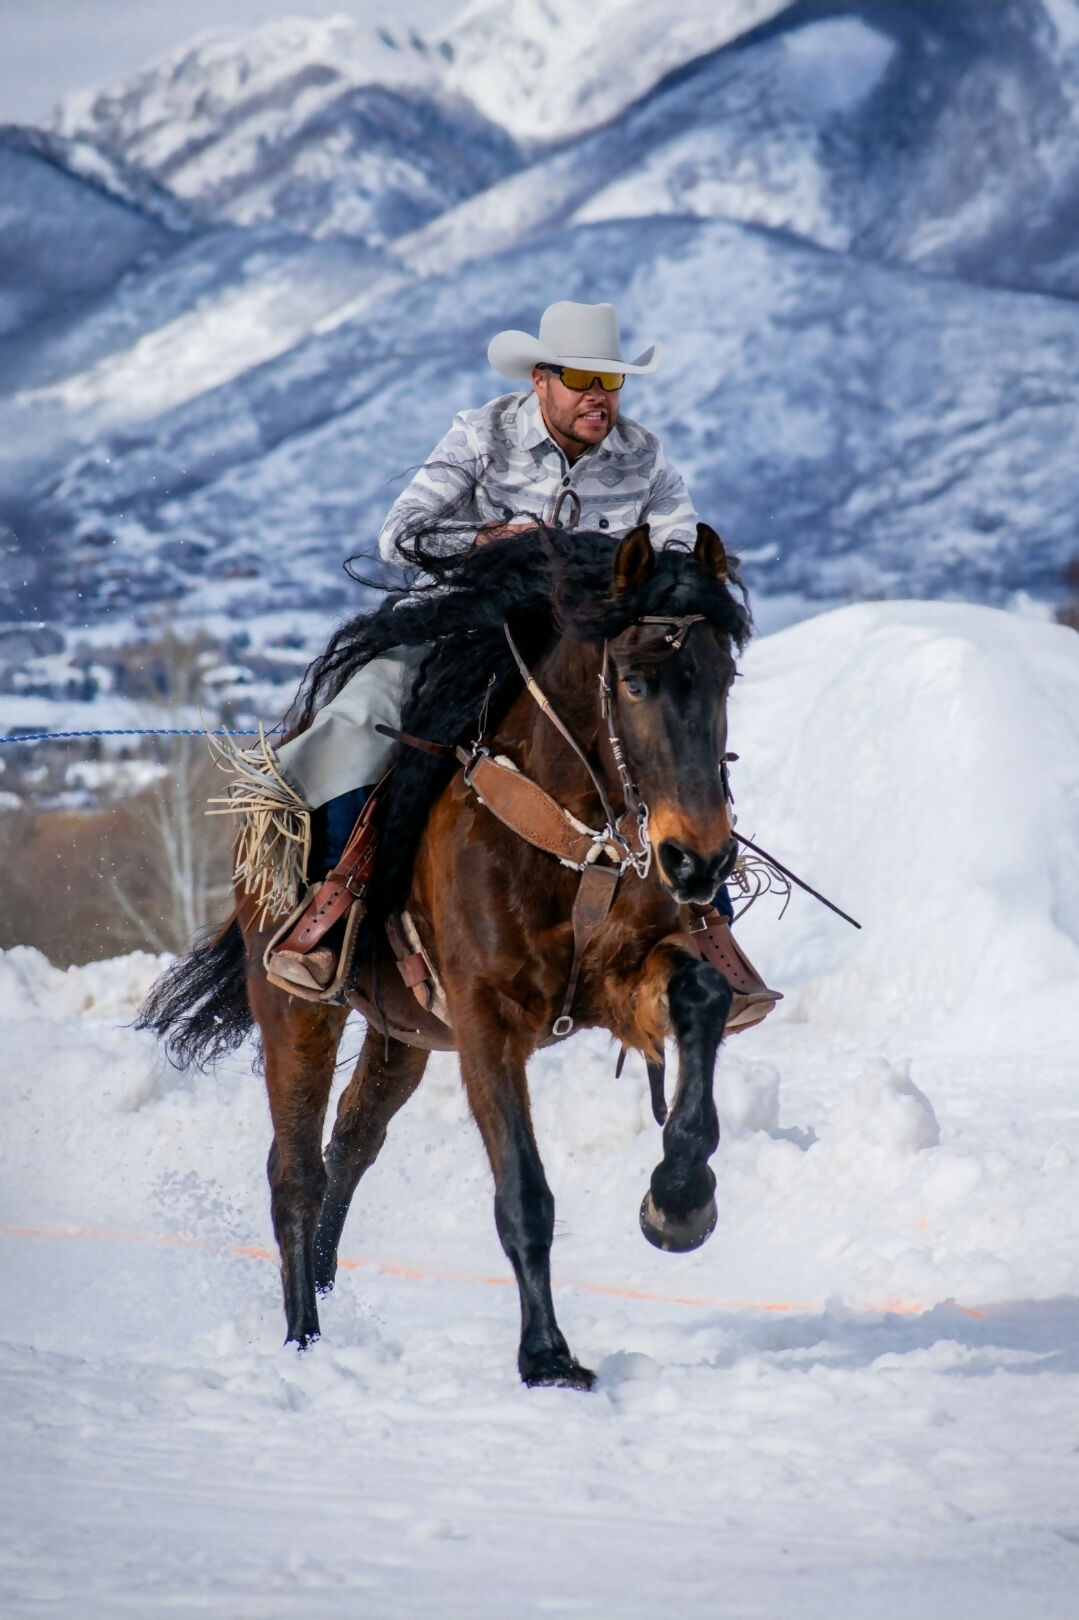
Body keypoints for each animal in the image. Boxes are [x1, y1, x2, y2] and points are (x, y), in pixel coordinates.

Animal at [139, 521, 753, 1389]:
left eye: (724, 678)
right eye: (633, 681)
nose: (697, 860)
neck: (567, 836)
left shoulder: (618, 979)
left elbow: (701, 997)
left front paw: (678, 1200)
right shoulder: (485, 1017)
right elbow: (523, 1189)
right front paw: (546, 1356)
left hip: (404, 1035)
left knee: (351, 1143)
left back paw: (325, 1293)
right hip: (293, 1007)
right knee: (294, 1171)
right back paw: (302, 1336)